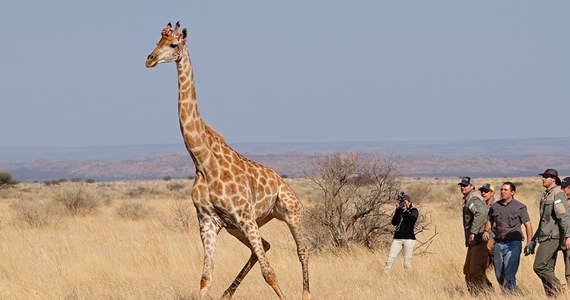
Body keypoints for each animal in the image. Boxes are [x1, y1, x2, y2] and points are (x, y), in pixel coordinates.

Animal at [144, 21, 308, 300]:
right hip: (243, 225)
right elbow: (205, 278)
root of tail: (282, 181)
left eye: (173, 44)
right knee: (264, 245)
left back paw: (306, 293)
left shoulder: (243, 215)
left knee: (302, 250)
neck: (203, 161)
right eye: (157, 42)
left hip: (289, 211)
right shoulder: (208, 221)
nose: (150, 59)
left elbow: (270, 273)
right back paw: (226, 294)